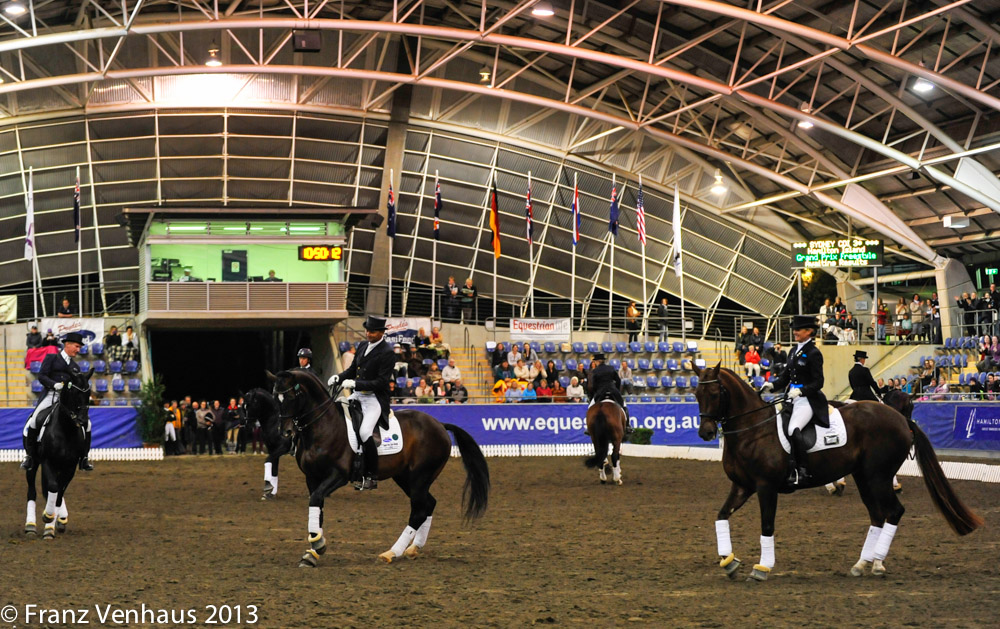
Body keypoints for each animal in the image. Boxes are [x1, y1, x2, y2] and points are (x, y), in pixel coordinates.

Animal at [24, 368, 94, 540]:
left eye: (88, 393)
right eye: (74, 392)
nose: (83, 420)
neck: (66, 428)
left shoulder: (70, 466)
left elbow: (59, 493)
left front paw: (53, 525)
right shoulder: (48, 461)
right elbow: (53, 487)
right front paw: (48, 517)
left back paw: (60, 519)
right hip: (34, 464)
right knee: (32, 491)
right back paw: (30, 526)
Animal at [270, 366, 488, 568]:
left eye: (290, 396)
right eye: (275, 397)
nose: (285, 432)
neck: (324, 426)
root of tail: (440, 425)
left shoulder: (338, 476)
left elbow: (316, 500)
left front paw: (318, 546)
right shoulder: (312, 478)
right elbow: (318, 507)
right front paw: (312, 553)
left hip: (419, 477)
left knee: (419, 510)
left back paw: (391, 552)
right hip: (406, 478)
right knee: (429, 504)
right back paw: (413, 548)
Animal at [692, 366, 980, 580]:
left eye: (716, 392)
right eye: (696, 393)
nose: (706, 432)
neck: (752, 430)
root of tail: (900, 419)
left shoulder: (766, 487)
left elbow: (767, 525)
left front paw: (761, 568)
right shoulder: (742, 487)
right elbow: (721, 516)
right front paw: (729, 562)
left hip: (877, 477)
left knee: (894, 512)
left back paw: (877, 563)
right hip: (865, 478)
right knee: (878, 515)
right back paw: (862, 564)